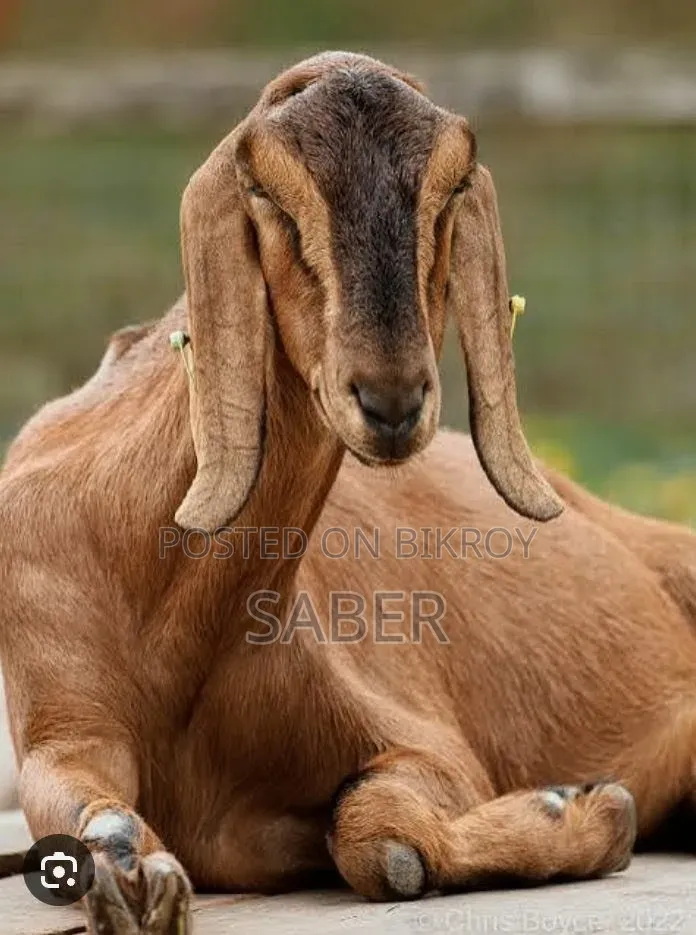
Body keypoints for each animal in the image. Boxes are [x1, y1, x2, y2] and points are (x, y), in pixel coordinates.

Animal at [0, 51, 695, 935]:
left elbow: (381, 838)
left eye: (450, 188)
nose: (391, 399)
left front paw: (582, 809)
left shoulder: (427, 746)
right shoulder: (62, 728)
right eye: (270, 195)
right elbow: (97, 814)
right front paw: (136, 883)